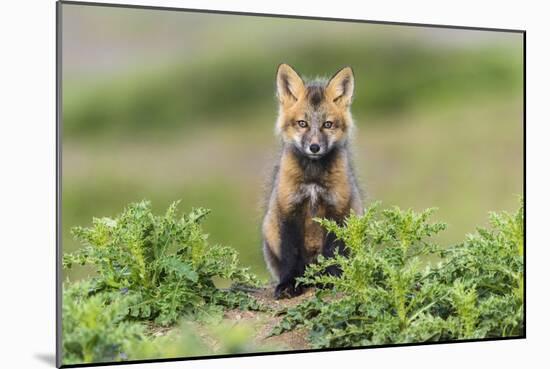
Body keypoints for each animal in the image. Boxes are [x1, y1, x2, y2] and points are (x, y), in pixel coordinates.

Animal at [264, 64, 364, 300]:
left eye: (328, 124)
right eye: (303, 123)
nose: (315, 147)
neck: (313, 179)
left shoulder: (338, 211)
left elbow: (332, 252)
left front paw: (331, 281)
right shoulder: (288, 210)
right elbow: (290, 254)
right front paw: (288, 284)